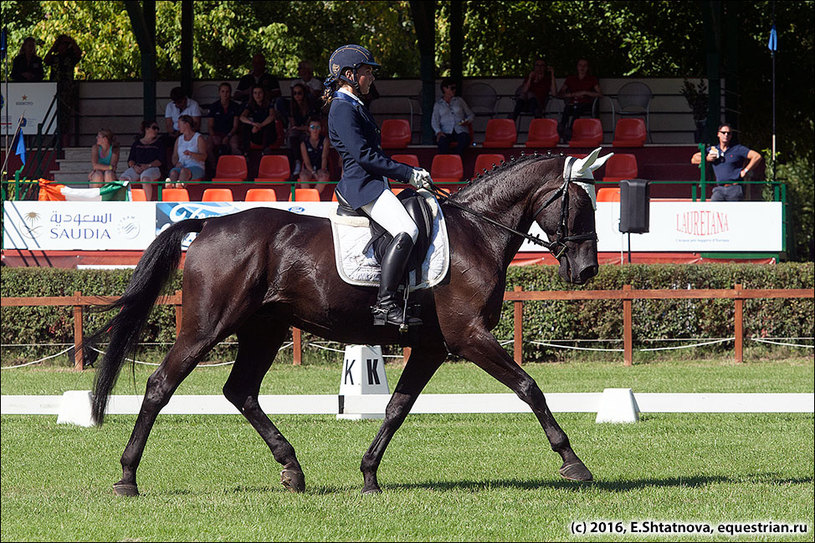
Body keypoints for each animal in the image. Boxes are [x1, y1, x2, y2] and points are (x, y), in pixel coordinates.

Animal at [87, 150, 612, 498]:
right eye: (581, 204)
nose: (587, 271)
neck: (478, 232)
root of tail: (210, 224)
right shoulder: (468, 337)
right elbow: (529, 388)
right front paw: (574, 463)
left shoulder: (432, 347)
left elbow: (397, 408)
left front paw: (369, 475)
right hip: (206, 327)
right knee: (160, 385)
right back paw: (127, 478)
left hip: (264, 329)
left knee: (241, 391)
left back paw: (293, 470)